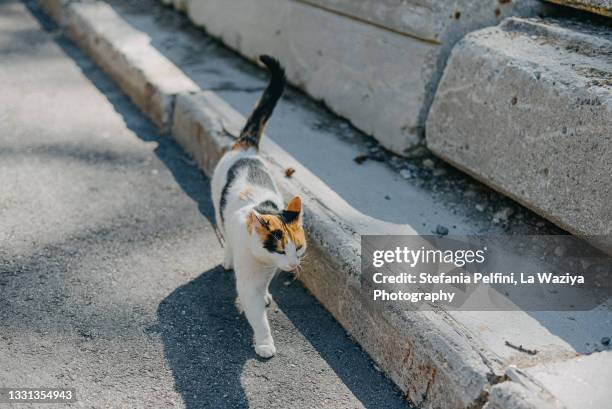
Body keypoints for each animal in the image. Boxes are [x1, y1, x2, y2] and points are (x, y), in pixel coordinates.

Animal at [210, 55, 306, 356]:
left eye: (299, 247)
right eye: (280, 248)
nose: (294, 263)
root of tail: (246, 148)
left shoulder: (269, 272)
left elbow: (264, 289)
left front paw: (266, 295)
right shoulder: (248, 282)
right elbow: (257, 315)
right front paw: (265, 343)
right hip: (216, 204)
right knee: (224, 233)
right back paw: (227, 258)